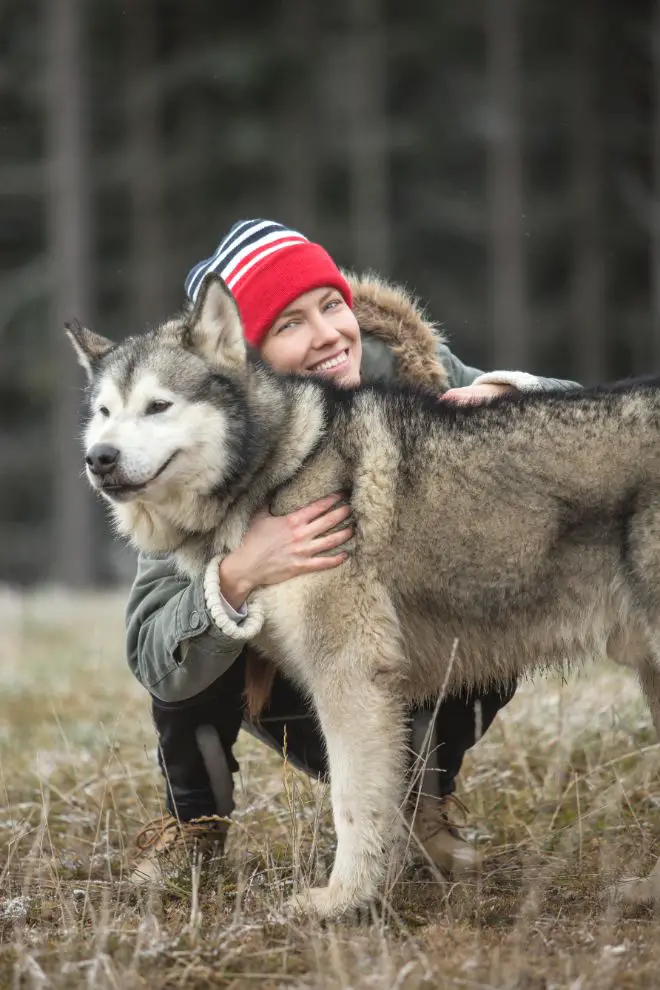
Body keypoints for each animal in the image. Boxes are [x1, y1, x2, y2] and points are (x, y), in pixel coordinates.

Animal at [65, 274, 660, 924]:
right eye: (104, 412)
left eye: (158, 406)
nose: (99, 458)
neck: (278, 467)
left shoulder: (350, 674)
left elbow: (353, 802)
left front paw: (343, 900)